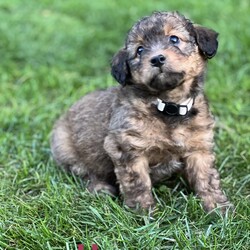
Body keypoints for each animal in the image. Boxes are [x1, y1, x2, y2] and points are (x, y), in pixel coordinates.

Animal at [50, 10, 232, 212]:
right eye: (140, 50)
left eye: (174, 39)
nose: (157, 59)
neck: (168, 105)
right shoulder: (127, 148)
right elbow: (137, 181)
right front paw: (143, 212)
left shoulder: (199, 147)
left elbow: (206, 178)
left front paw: (217, 207)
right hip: (65, 148)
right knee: (85, 172)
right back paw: (100, 188)